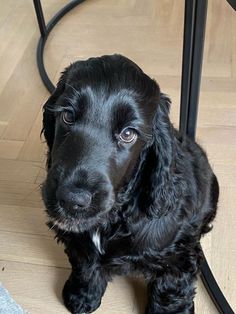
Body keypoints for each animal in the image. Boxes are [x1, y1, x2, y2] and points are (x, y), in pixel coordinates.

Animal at [41, 54, 218, 314]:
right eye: (67, 116)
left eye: (128, 134)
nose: (72, 200)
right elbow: (85, 264)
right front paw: (81, 296)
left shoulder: (178, 258)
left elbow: (170, 294)